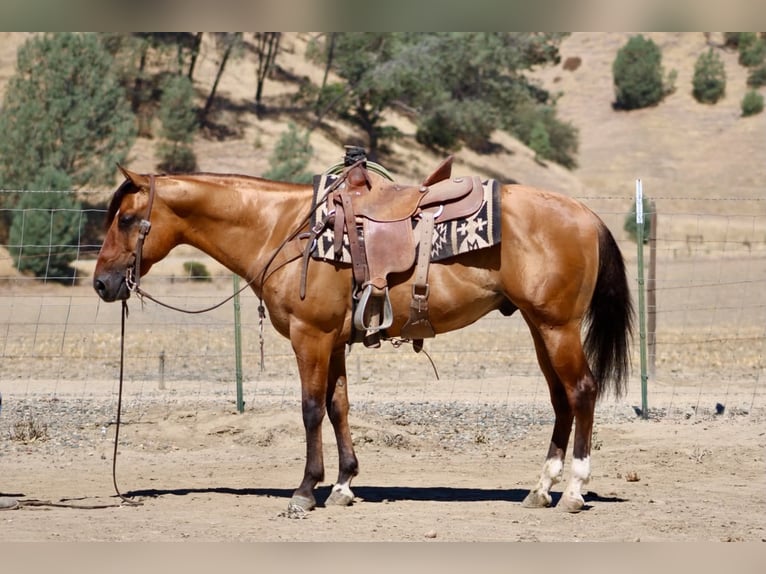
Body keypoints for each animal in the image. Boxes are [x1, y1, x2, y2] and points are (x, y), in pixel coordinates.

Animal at [93, 163, 633, 514]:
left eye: (126, 219)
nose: (101, 284)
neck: (282, 230)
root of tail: (586, 215)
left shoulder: (310, 337)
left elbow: (311, 408)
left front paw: (305, 491)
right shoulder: (333, 341)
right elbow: (339, 406)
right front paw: (344, 484)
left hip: (557, 327)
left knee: (582, 392)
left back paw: (574, 491)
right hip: (540, 328)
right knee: (561, 400)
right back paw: (541, 489)